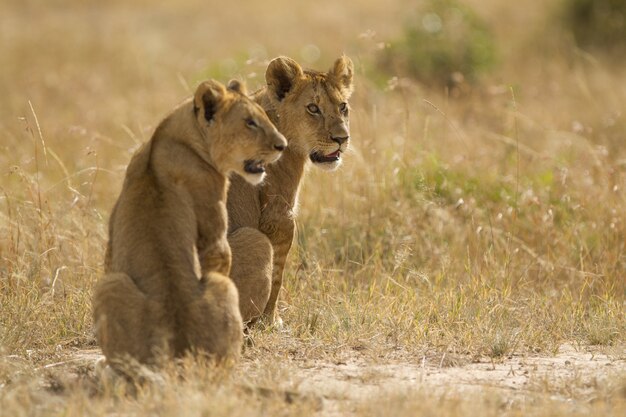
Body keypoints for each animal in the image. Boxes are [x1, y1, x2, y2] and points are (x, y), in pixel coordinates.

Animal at [91, 78, 286, 368]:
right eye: (250, 122)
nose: (283, 145)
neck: (172, 135)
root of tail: (176, 347)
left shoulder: (113, 239)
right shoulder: (212, 218)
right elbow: (218, 253)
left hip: (109, 284)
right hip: (222, 286)